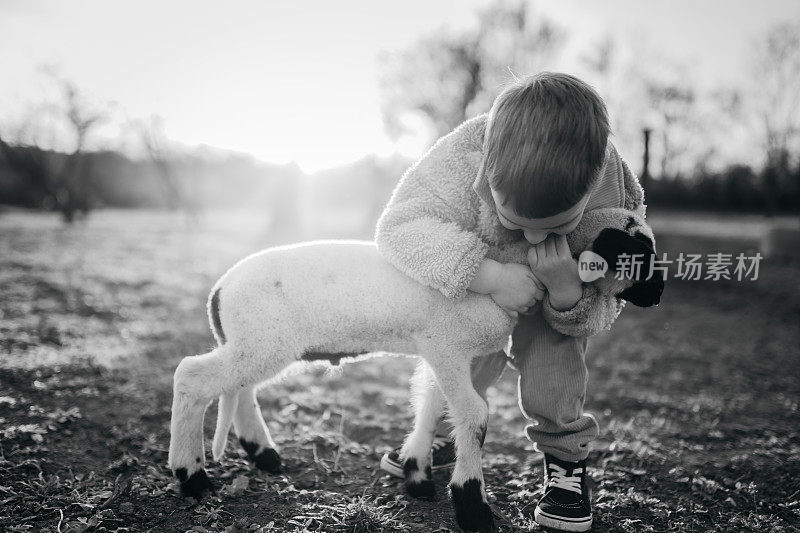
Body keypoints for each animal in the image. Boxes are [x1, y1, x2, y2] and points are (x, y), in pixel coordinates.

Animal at [167, 206, 664, 528]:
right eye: (634, 247)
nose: (657, 294)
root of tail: (220, 289)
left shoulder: (438, 352)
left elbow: (431, 404)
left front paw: (417, 473)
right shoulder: (446, 346)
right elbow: (473, 415)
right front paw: (471, 504)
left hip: (255, 342)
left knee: (240, 389)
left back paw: (263, 454)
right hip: (262, 341)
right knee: (192, 377)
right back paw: (191, 477)